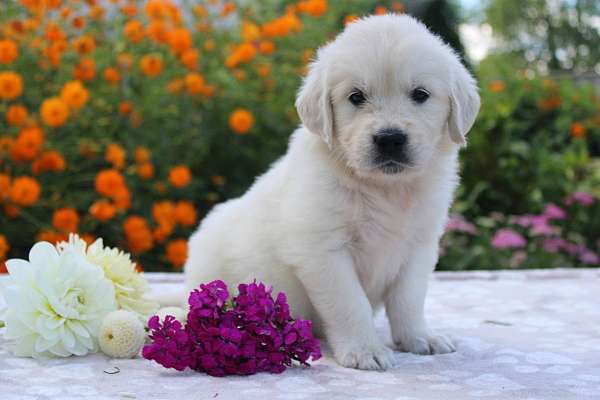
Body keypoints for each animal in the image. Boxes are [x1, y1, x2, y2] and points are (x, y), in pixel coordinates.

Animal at [182, 15, 478, 372]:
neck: (384, 188)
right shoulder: (322, 249)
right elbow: (350, 303)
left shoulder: (420, 245)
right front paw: (365, 350)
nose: (390, 139)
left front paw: (419, 337)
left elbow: (408, 298)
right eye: (356, 97)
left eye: (420, 94)